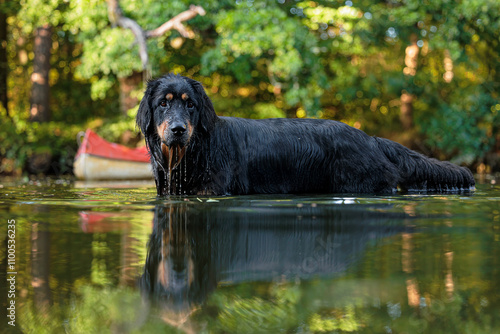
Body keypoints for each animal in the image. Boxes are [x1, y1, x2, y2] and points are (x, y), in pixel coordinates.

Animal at [138, 73, 476, 196]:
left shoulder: (214, 189)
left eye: (190, 105)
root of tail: (370, 138)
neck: (197, 149)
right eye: (163, 104)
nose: (178, 129)